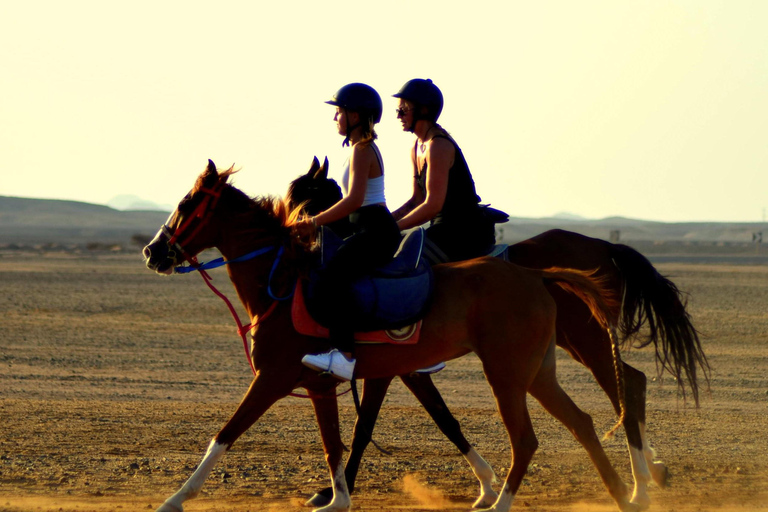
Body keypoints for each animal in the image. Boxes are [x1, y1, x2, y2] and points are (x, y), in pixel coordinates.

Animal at [144, 160, 640, 512]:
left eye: (187, 204)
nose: (153, 251)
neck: (284, 284)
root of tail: (536, 275)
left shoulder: (272, 378)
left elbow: (226, 434)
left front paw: (175, 499)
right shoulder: (322, 385)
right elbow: (337, 444)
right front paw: (335, 499)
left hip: (510, 374)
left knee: (534, 436)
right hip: (538, 372)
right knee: (583, 421)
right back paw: (624, 494)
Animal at [288, 158, 708, 510]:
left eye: (302, 195)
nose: (295, 228)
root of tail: (604, 246)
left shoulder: (397, 368)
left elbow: (381, 426)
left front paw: (330, 491)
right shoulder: (405, 369)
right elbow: (441, 419)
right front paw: (486, 485)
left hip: (585, 339)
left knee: (625, 387)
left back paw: (639, 485)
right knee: (630, 383)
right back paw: (651, 472)